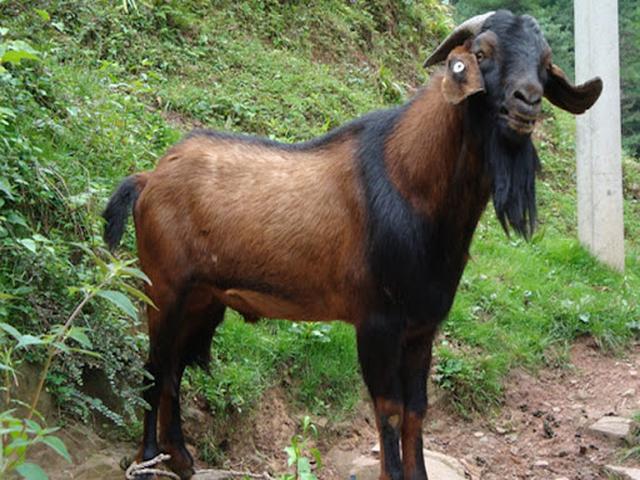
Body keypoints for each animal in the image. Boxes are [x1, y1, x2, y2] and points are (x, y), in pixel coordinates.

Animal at [103, 10, 602, 480]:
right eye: (482, 53)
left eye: (544, 66)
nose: (527, 101)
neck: (411, 182)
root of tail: (148, 178)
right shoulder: (377, 323)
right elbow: (390, 411)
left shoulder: (422, 327)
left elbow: (418, 410)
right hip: (162, 286)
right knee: (154, 368)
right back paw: (148, 460)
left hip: (203, 299)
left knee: (173, 370)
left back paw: (181, 458)